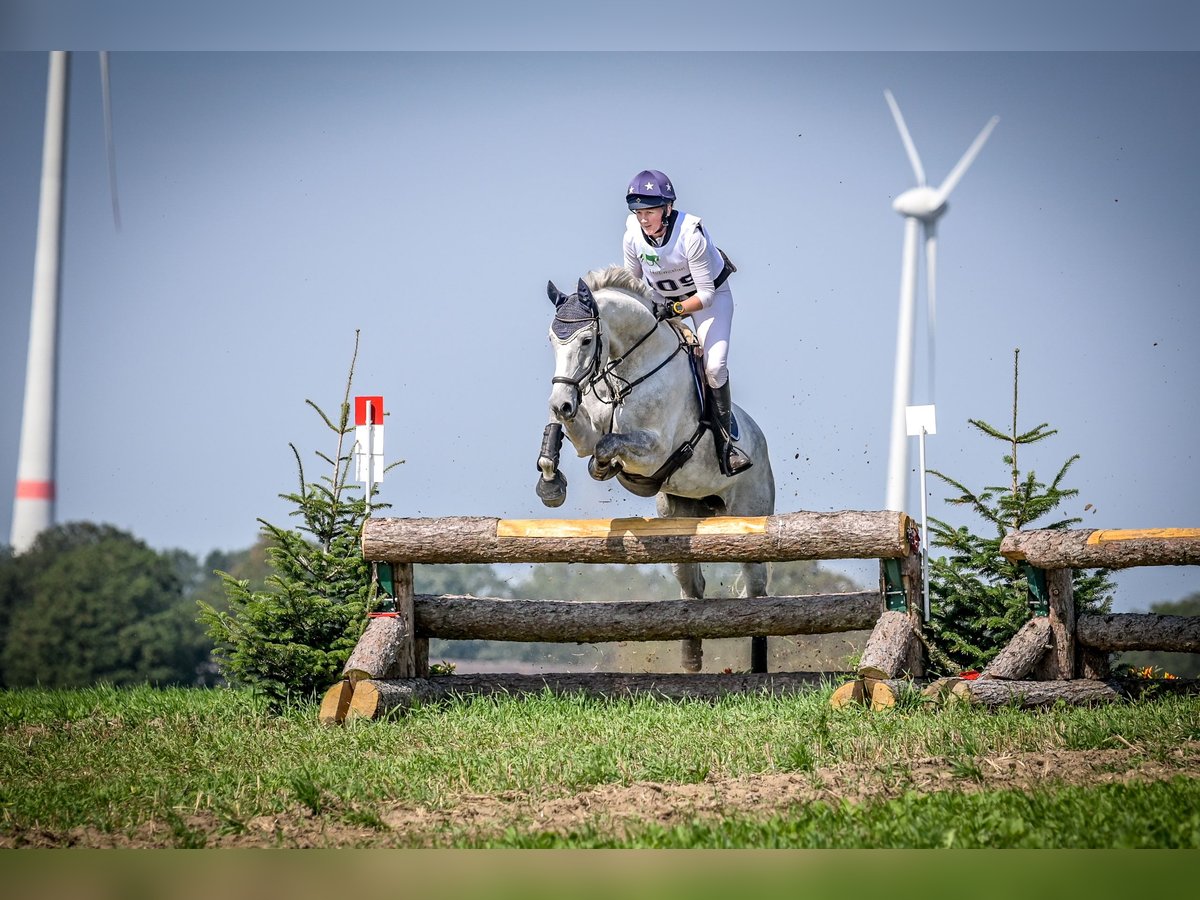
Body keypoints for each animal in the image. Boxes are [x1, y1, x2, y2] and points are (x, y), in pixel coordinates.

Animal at [535, 264, 777, 672]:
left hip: (751, 518)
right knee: (692, 587)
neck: (630, 371)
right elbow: (576, 437)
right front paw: (551, 480)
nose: (561, 400)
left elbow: (607, 446)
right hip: (680, 517)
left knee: (757, 592)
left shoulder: (656, 450)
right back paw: (691, 662)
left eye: (587, 341)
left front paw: (603, 468)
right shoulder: (584, 428)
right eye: (553, 340)